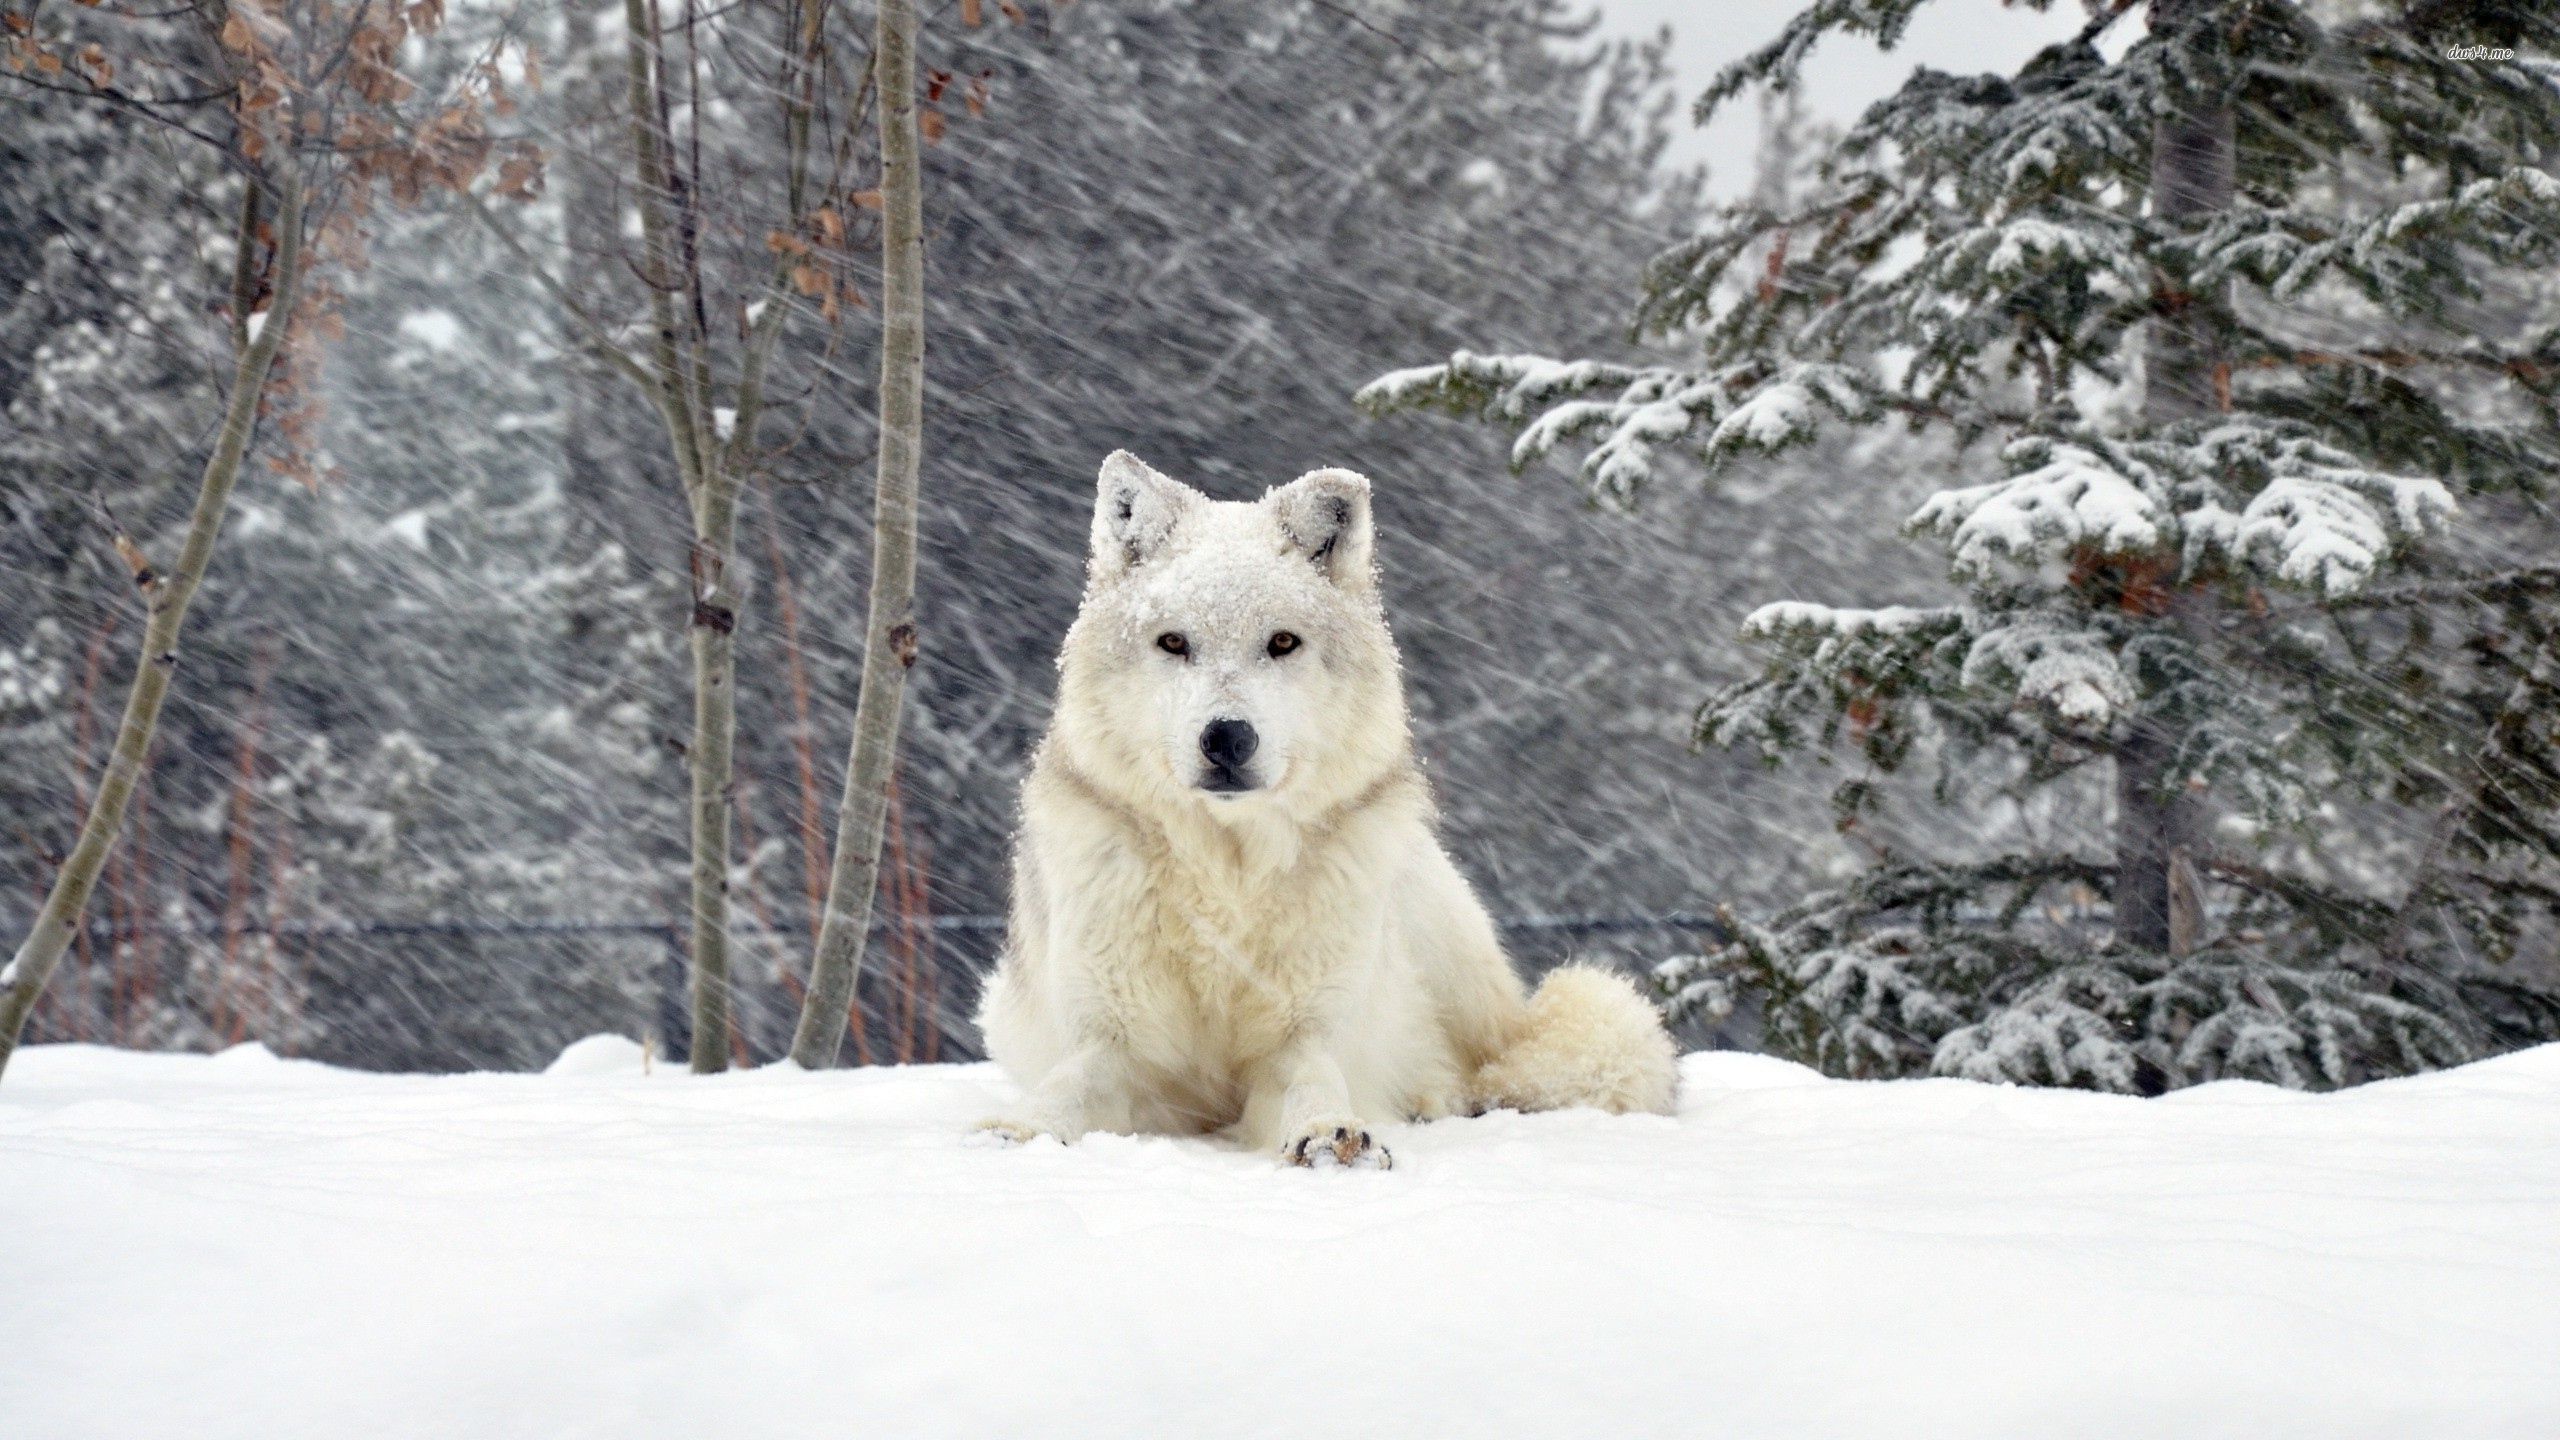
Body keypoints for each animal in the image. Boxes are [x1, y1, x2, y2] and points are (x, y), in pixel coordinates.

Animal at [974, 452, 1677, 1168]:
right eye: (1173, 643)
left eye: (1282, 643)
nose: (1227, 737)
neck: (1226, 877)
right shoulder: (1114, 1040)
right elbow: (1066, 1087)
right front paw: (1020, 1132)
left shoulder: (1306, 1034)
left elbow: (1315, 1081)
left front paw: (1328, 1133)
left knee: (1479, 1067)